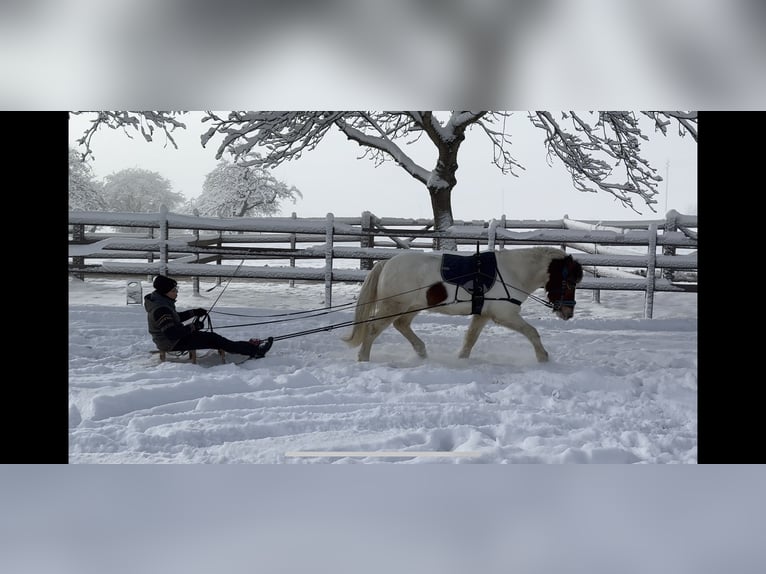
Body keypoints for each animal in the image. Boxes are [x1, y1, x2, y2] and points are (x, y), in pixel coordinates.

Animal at [342, 246, 583, 362]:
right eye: (570, 281)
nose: (568, 312)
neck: (513, 272)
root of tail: (386, 263)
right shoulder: (505, 316)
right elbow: (532, 332)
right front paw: (543, 358)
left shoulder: (483, 315)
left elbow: (470, 339)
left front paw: (461, 359)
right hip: (394, 306)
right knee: (373, 329)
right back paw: (363, 358)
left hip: (412, 307)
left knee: (401, 325)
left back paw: (421, 352)